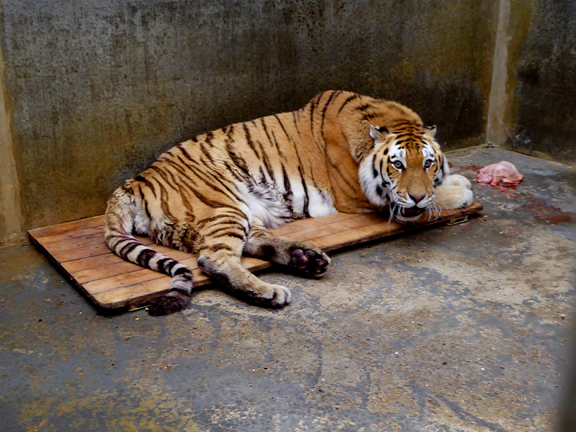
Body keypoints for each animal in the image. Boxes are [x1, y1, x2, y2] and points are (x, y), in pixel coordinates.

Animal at [103, 89, 472, 316]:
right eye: (397, 164)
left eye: (428, 163)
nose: (416, 195)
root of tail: (134, 181)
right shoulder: (356, 197)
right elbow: (423, 201)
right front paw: (460, 189)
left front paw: (452, 181)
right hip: (222, 207)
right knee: (214, 259)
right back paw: (269, 292)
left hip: (236, 212)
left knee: (251, 243)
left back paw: (305, 258)